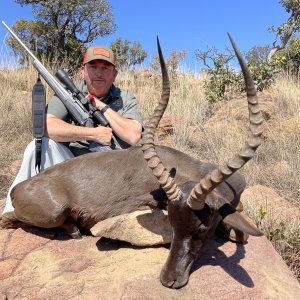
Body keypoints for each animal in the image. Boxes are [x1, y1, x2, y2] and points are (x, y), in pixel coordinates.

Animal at [1, 34, 262, 288]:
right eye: (172, 222)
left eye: (201, 227)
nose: (168, 279)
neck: (193, 168)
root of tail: (17, 188)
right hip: (52, 212)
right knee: (9, 219)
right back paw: (74, 230)